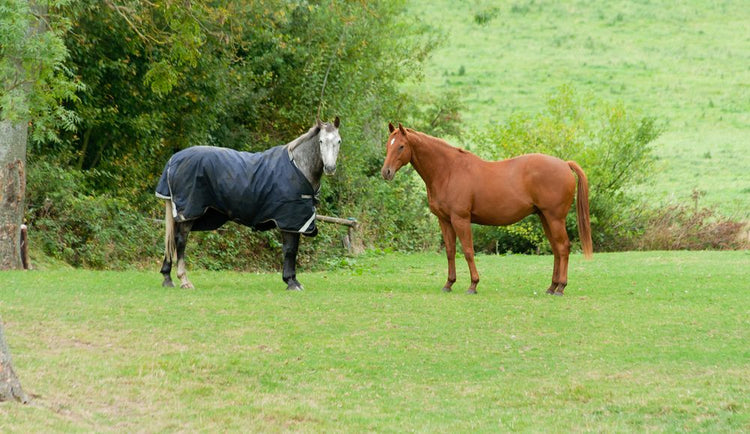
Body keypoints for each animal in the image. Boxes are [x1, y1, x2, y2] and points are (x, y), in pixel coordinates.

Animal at [156, 117, 341, 290]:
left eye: (338, 141)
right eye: (321, 141)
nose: (330, 168)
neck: (298, 166)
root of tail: (173, 160)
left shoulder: (296, 221)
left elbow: (292, 250)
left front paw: (292, 280)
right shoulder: (290, 220)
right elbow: (290, 250)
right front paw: (291, 282)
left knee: (171, 240)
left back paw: (167, 278)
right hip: (188, 212)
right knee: (180, 241)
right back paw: (184, 280)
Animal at [381, 123, 592, 295]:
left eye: (401, 146)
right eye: (388, 145)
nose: (386, 172)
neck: (448, 171)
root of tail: (564, 164)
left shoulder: (460, 219)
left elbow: (468, 251)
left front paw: (473, 285)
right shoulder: (445, 220)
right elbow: (450, 251)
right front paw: (449, 283)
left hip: (555, 218)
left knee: (563, 248)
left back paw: (561, 287)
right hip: (544, 217)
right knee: (557, 249)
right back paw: (552, 287)